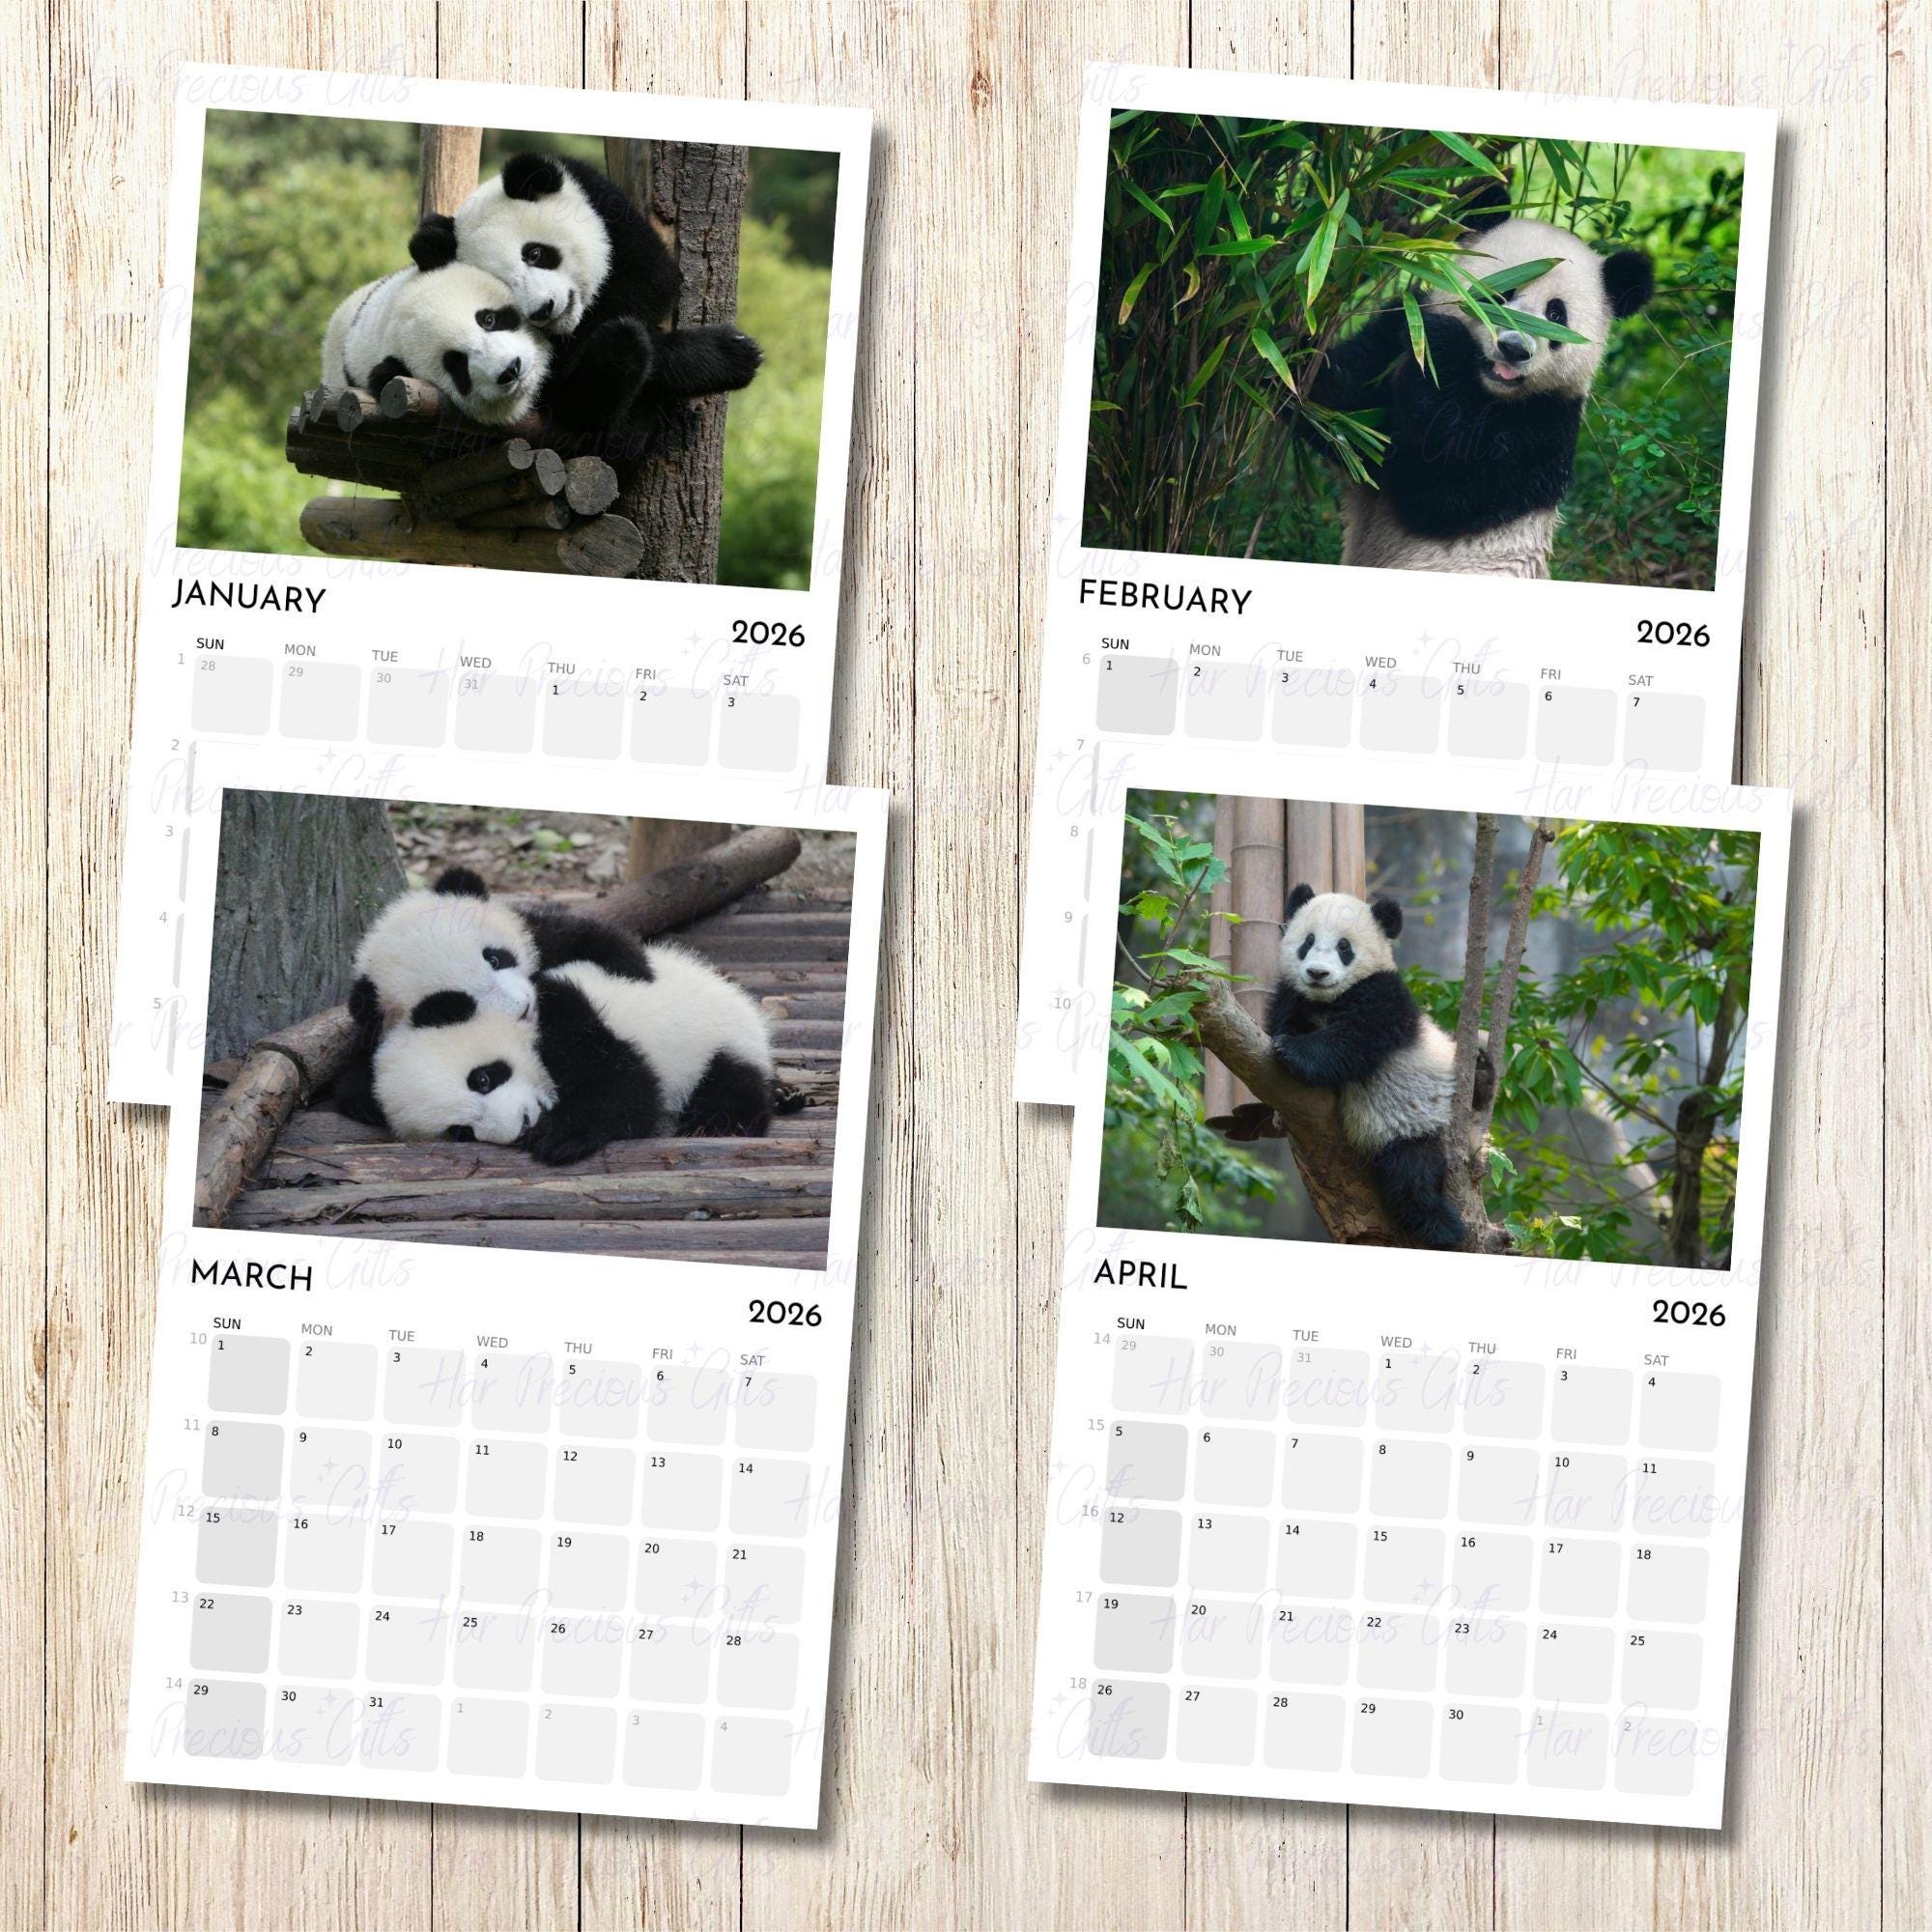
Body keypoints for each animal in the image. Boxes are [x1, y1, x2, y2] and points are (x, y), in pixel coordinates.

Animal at [410, 152, 762, 454]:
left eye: (534, 253)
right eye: (505, 286)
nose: (543, 310)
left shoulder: (608, 211)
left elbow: (652, 281)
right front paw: (731, 354)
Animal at [1267, 884, 1493, 1251]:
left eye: (1344, 947)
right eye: (1307, 941)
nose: (1317, 973)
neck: (1326, 1002)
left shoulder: (1386, 997)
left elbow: (1356, 1039)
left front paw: (1294, 1051)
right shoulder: (1291, 997)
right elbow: (1285, 1021)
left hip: (1417, 1123)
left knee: (1412, 1177)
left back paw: (1444, 1227)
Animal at [1311, 182, 1655, 577]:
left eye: (1556, 314)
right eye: (1501, 292)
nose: (1513, 348)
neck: (1483, 389)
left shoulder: (1546, 425)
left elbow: (1443, 492)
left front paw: (1443, 341)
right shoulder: (1397, 338)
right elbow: (1347, 416)